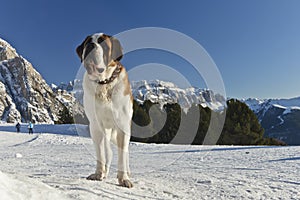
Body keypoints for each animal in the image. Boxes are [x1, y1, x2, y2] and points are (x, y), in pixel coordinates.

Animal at [76, 33, 134, 188]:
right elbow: (100, 153)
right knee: (108, 152)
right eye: (88, 42)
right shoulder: (95, 126)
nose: (91, 46)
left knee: (125, 153)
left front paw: (124, 179)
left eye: (103, 43)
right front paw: (98, 174)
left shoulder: (122, 126)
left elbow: (122, 155)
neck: (104, 83)